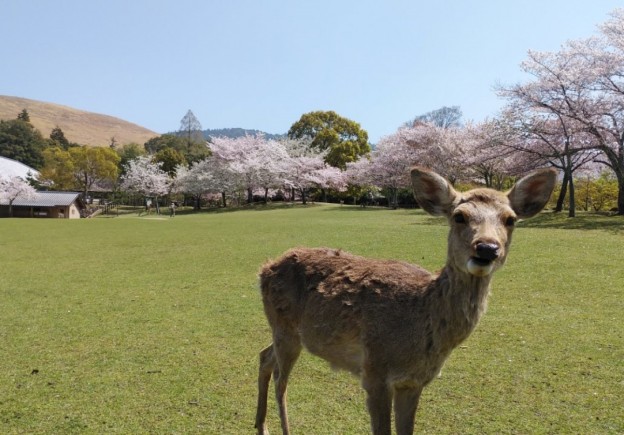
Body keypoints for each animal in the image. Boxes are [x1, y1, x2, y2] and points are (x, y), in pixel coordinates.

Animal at [254, 167, 556, 435]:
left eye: (510, 219)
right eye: (459, 216)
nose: (486, 248)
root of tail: (264, 269)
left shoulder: (414, 381)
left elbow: (406, 429)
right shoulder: (374, 371)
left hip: (284, 331)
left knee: (264, 356)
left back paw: (260, 425)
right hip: (286, 330)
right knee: (281, 380)